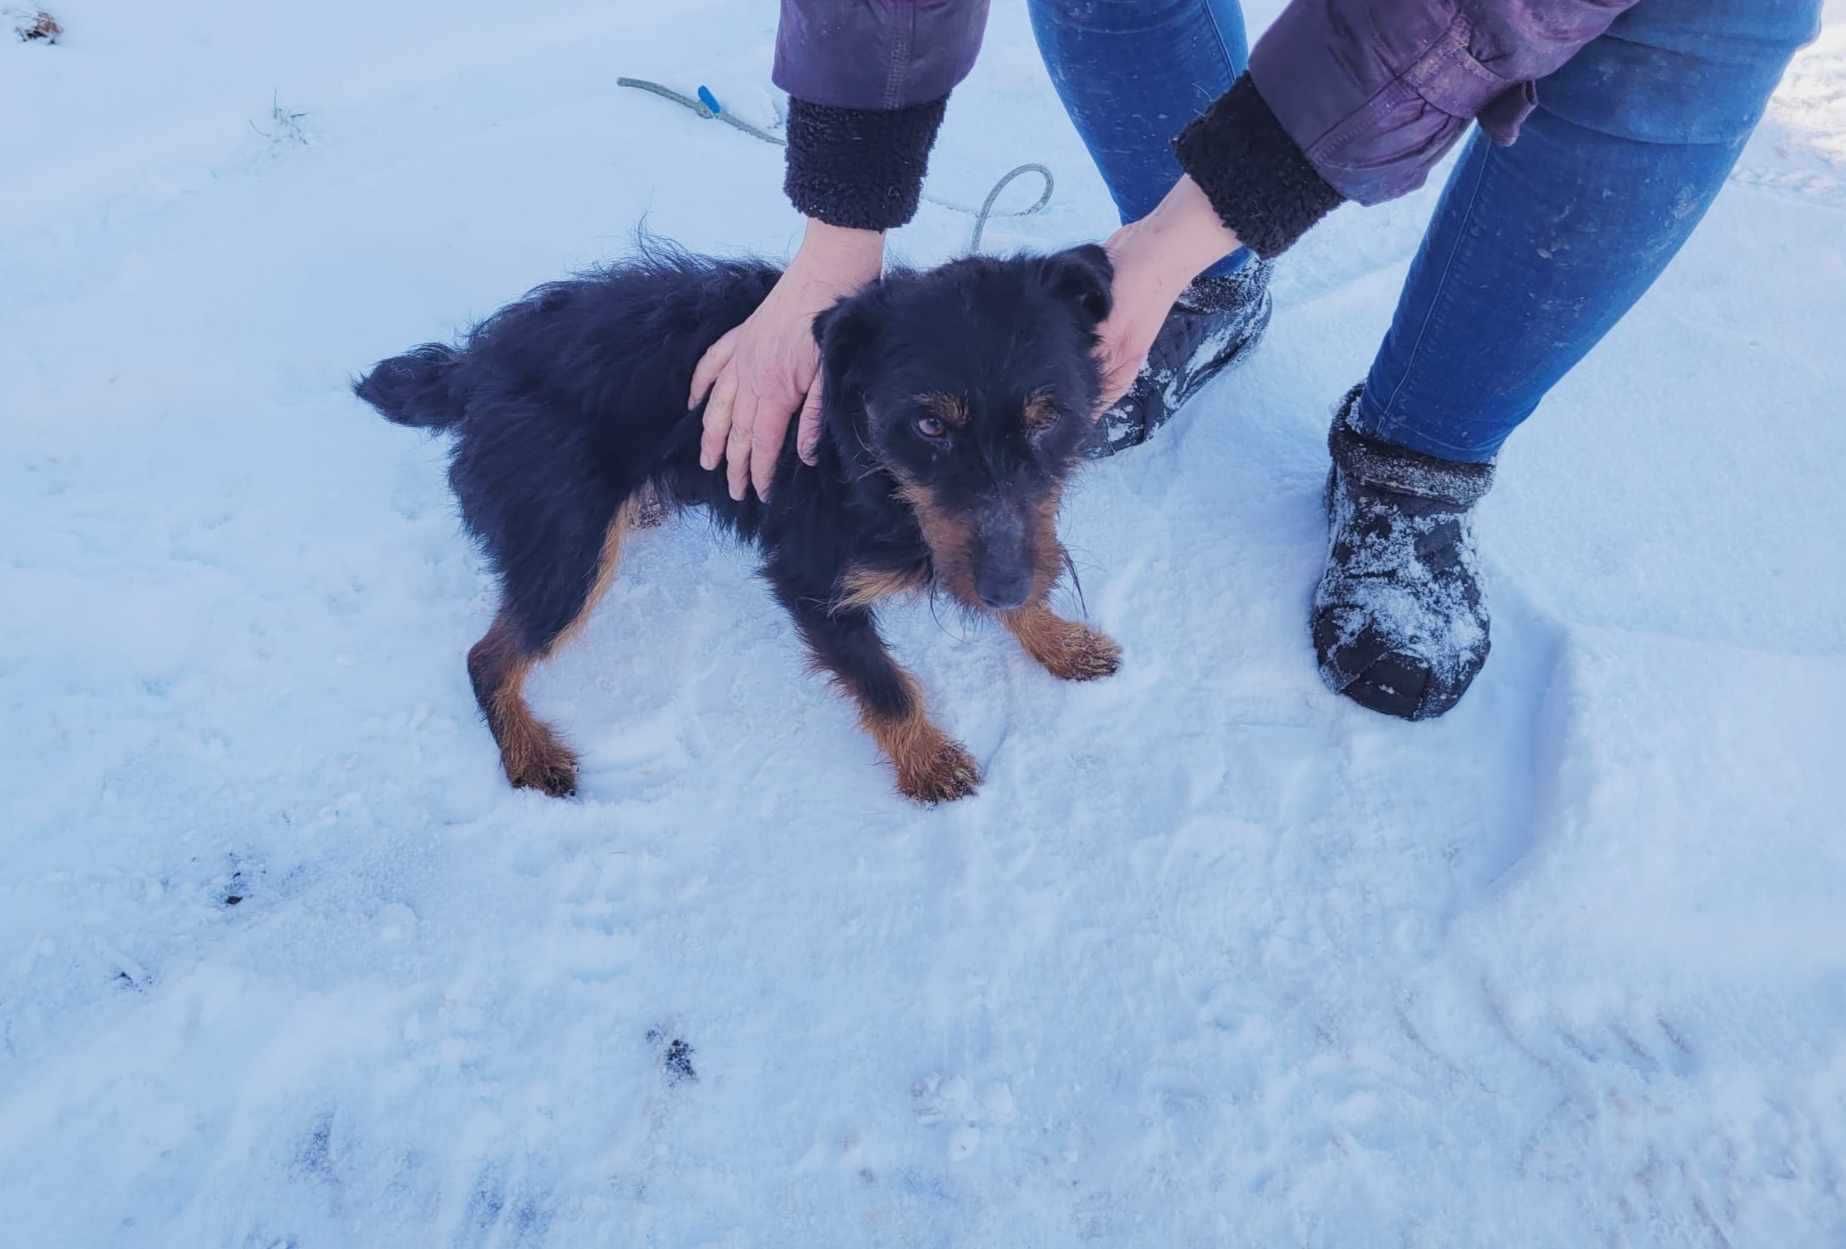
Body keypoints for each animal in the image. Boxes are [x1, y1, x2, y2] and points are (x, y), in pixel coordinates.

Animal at [352, 239, 1114, 804]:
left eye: (1047, 419)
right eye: (929, 425)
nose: (1003, 588)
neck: (868, 462)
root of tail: (474, 365)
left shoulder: (1008, 540)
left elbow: (1025, 559)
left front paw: (1058, 639)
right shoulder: (807, 578)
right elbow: (884, 684)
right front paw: (929, 763)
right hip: (569, 552)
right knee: (486, 658)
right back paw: (529, 754)